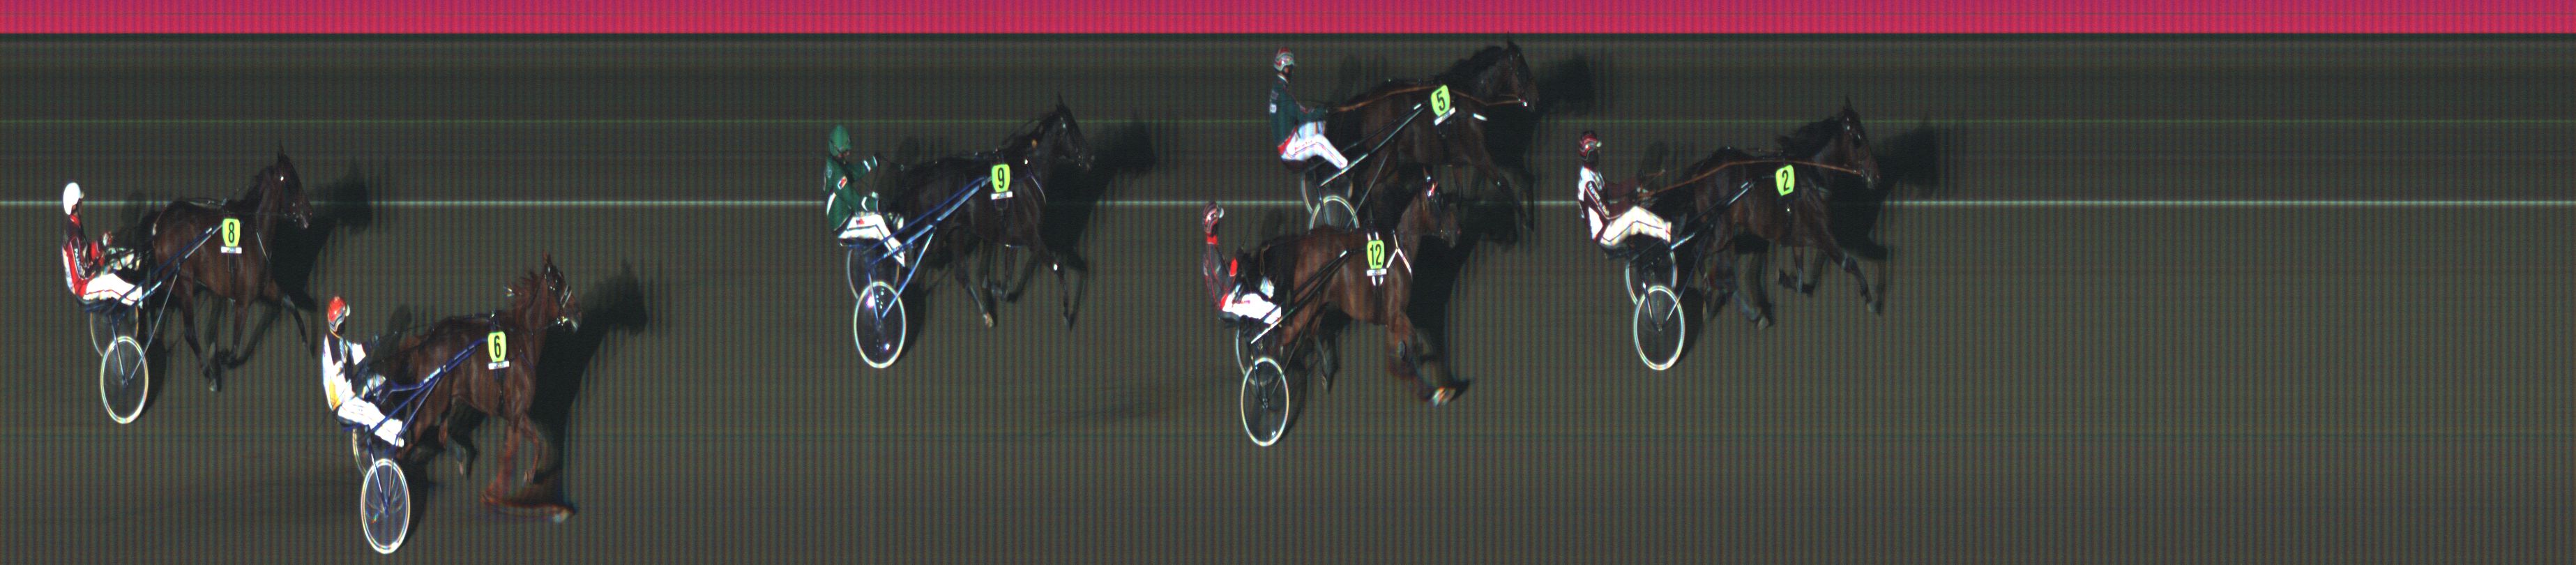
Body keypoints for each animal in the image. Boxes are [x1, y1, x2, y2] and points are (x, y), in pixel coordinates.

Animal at [145, 152, 315, 388]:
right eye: (293, 182)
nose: (309, 214)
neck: (255, 236)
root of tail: (161, 223)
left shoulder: (267, 287)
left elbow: (290, 303)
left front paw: (306, 342)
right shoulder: (243, 302)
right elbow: (234, 348)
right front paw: (221, 357)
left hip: (171, 280)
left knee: (154, 296)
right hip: (184, 281)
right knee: (189, 331)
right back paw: (208, 372)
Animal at [380, 254, 581, 519]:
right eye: (557, 284)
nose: (578, 313)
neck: (522, 343)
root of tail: (426, 342)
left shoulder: (514, 415)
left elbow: (536, 444)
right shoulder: (516, 414)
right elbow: (524, 449)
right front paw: (515, 486)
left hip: (447, 402)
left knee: (441, 435)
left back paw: (459, 458)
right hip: (430, 407)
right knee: (405, 444)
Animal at [893, 101, 1095, 327]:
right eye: (1073, 130)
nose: (1090, 158)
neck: (1028, 173)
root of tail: (919, 178)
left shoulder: (1013, 240)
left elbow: (1006, 285)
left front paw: (994, 287)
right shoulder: (1033, 239)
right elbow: (1058, 268)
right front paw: (1067, 315)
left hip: (954, 232)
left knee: (959, 274)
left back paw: (986, 315)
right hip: (934, 235)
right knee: (911, 266)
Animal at [1238, 181, 1462, 404]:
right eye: (1441, 201)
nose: (1457, 231)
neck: (1401, 250)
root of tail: (1303, 246)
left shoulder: (1394, 319)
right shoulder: (1396, 315)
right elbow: (1409, 349)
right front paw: (1433, 392)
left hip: (1319, 302)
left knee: (1310, 331)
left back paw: (1323, 371)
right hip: (1305, 307)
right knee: (1281, 338)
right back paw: (1267, 380)